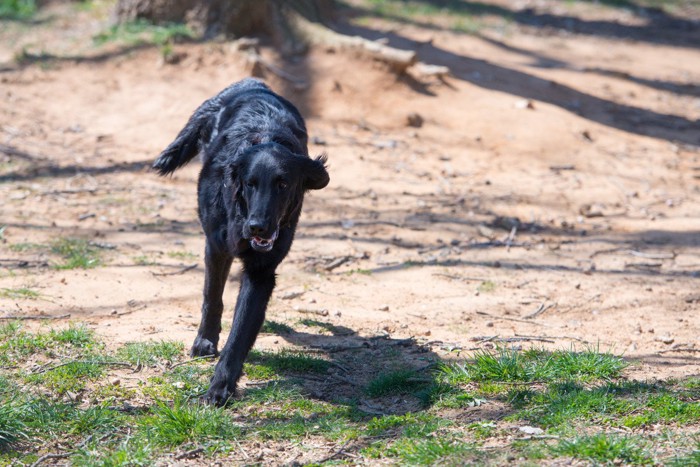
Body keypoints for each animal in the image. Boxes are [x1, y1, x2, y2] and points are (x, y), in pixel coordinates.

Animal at [153, 79, 328, 406]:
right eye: (250, 183)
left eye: (283, 184)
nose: (257, 226)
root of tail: (252, 83)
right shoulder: (216, 247)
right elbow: (212, 297)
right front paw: (205, 342)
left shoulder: (261, 272)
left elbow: (240, 333)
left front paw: (220, 387)